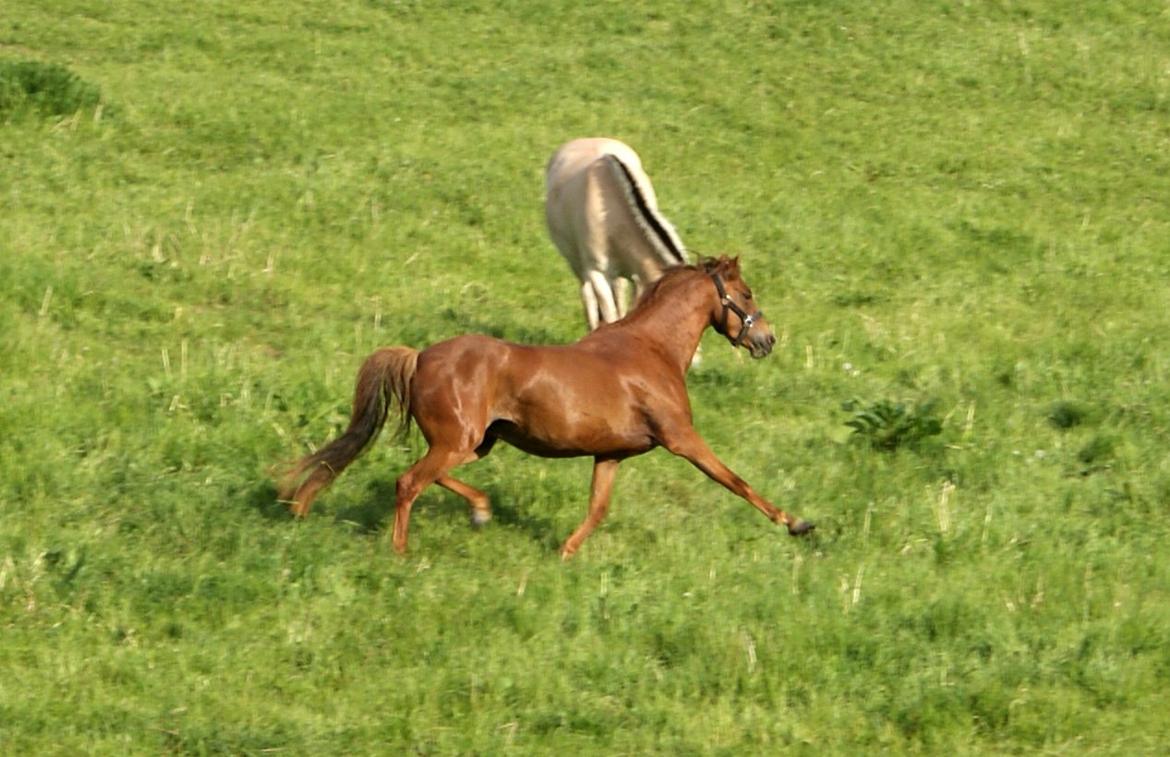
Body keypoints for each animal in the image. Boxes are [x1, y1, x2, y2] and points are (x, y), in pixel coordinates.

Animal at [278, 256, 814, 558]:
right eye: (747, 294)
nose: (767, 340)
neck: (651, 350)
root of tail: (420, 356)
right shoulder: (681, 438)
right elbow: (735, 481)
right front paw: (796, 523)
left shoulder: (611, 454)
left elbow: (598, 508)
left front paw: (565, 552)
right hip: (458, 441)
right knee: (408, 482)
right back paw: (401, 552)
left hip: (478, 442)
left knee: (431, 476)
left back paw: (481, 511)